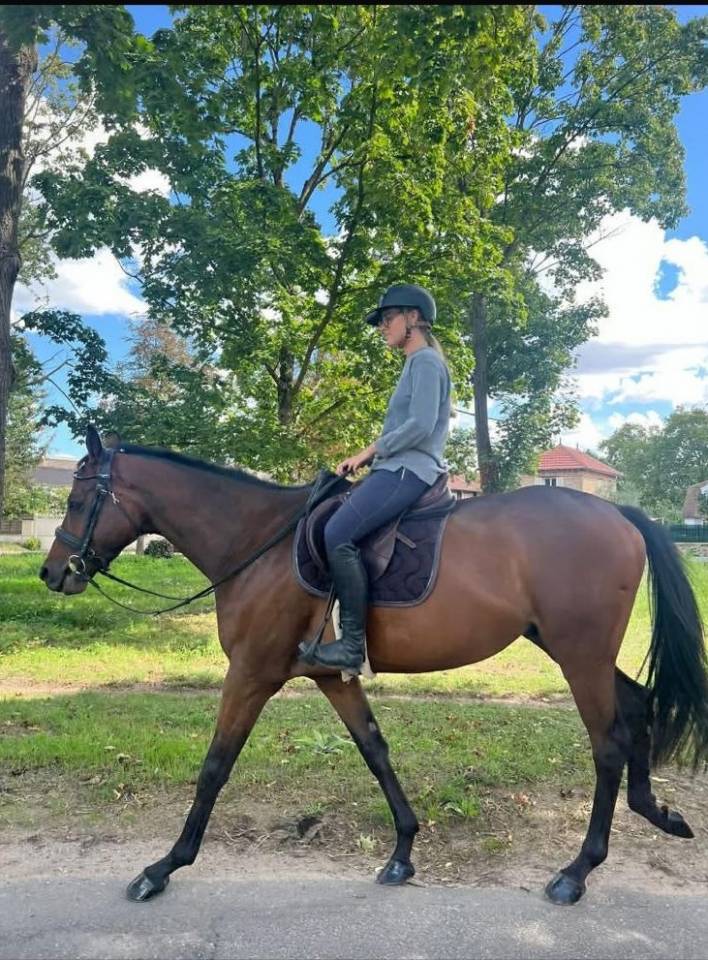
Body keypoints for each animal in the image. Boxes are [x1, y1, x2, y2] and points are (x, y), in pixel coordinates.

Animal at [39, 427, 708, 905]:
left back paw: (577, 871)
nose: (52, 573)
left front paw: (163, 867)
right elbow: (374, 748)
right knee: (638, 705)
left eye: (76, 499)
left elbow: (214, 767)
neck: (259, 544)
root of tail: (619, 514)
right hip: (571, 648)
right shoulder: (331, 676)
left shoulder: (251, 674)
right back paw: (657, 811)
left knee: (608, 743)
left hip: (579, 655)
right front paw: (403, 850)